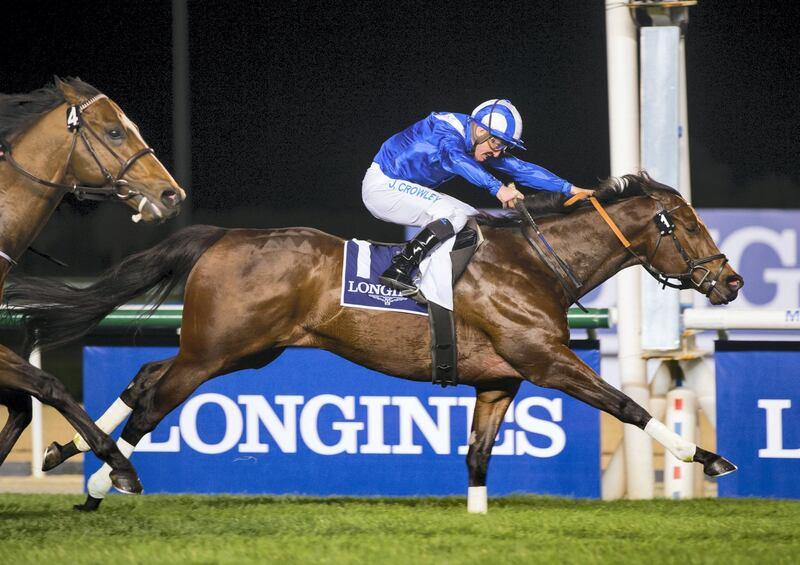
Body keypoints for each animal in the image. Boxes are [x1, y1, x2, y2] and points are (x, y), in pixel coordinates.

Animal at [7, 171, 744, 506]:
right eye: (690, 225)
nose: (732, 281)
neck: (533, 264)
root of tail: (222, 237)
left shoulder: (500, 379)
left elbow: (478, 454)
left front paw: (479, 519)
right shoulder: (546, 359)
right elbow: (627, 404)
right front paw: (708, 458)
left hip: (241, 349)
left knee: (144, 378)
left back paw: (76, 453)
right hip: (215, 351)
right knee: (155, 400)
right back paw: (104, 478)